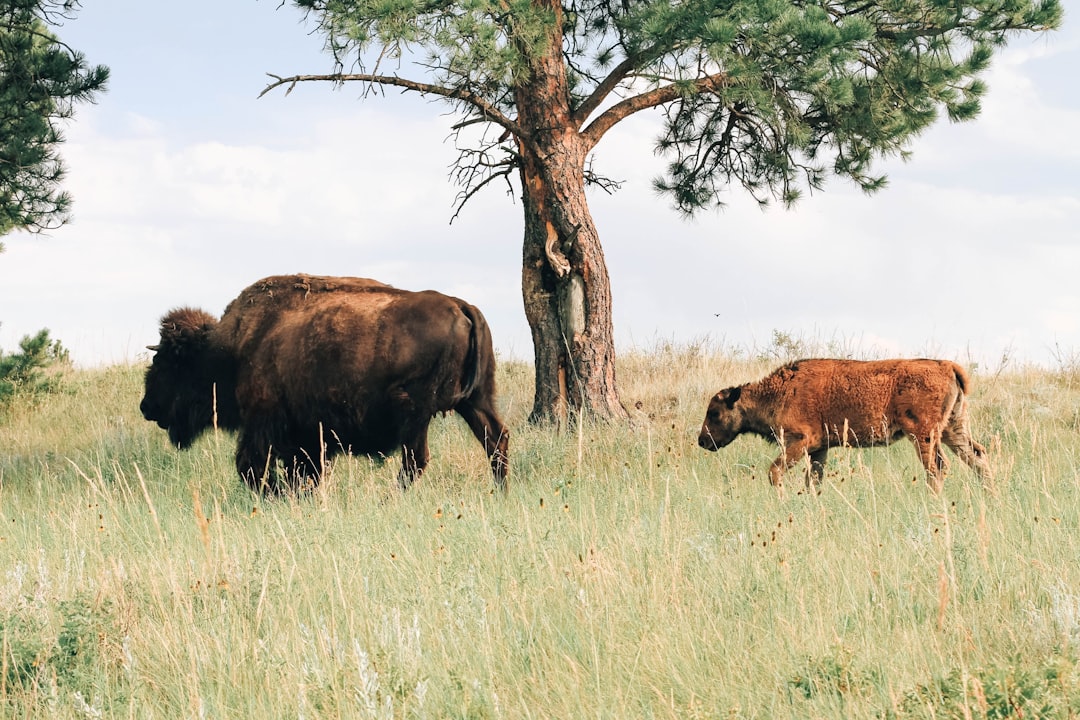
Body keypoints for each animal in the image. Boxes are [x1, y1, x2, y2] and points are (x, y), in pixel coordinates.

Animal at [141, 273, 507, 492]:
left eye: (166, 363)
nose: (147, 406)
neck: (230, 348)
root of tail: (462, 306)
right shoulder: (308, 437)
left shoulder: (264, 424)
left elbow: (251, 466)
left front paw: (276, 495)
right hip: (477, 400)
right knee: (495, 440)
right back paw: (500, 492)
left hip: (417, 413)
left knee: (416, 461)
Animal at [695, 358, 989, 492]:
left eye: (714, 412)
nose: (702, 440)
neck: (780, 391)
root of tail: (947, 366)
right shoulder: (819, 450)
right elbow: (813, 479)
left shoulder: (799, 442)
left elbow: (775, 471)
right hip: (953, 429)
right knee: (977, 456)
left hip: (924, 435)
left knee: (937, 467)